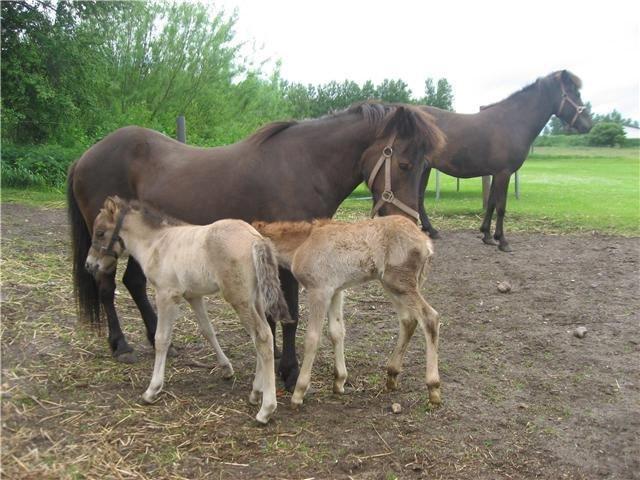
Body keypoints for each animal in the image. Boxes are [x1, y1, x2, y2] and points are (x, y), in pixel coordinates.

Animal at [86, 197, 292, 422]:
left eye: (100, 232)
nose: (89, 265)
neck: (157, 242)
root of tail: (256, 239)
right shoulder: (193, 296)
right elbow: (207, 330)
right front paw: (226, 368)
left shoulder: (166, 295)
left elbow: (161, 339)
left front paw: (152, 390)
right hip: (254, 299)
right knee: (263, 335)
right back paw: (255, 392)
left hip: (239, 299)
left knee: (262, 337)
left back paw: (266, 409)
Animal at [254, 216, 440, 406]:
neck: (301, 244)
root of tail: (425, 242)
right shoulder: (335, 291)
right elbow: (336, 332)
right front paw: (339, 381)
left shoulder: (319, 291)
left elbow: (312, 338)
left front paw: (299, 392)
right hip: (393, 286)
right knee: (408, 320)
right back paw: (392, 375)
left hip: (400, 283)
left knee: (429, 317)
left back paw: (433, 387)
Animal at [418, 71, 592, 251]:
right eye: (574, 93)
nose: (588, 125)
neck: (512, 122)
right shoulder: (504, 173)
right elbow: (501, 207)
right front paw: (502, 240)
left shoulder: (496, 174)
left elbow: (491, 204)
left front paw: (487, 236)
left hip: (425, 168)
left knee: (419, 197)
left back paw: (431, 230)